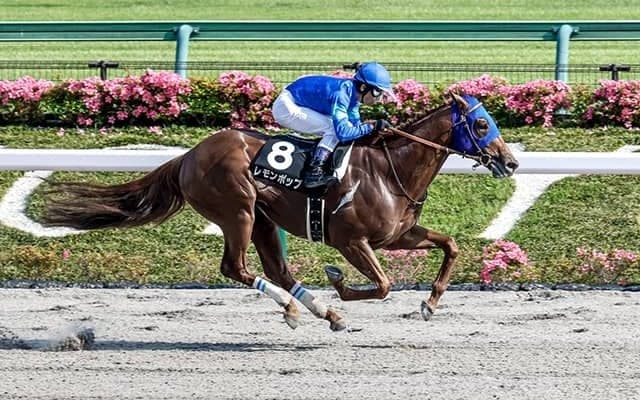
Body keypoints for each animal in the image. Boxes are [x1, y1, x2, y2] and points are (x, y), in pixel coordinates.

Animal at [42, 93, 519, 331]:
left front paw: (430, 304)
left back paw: (321, 313)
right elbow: (382, 285)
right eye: (481, 125)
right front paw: (338, 282)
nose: (510, 162)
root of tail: (188, 156)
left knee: (278, 270)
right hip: (238, 211)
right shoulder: (351, 240)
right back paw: (301, 309)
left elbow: (450, 246)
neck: (389, 169)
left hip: (264, 220)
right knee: (236, 268)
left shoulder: (398, 234)